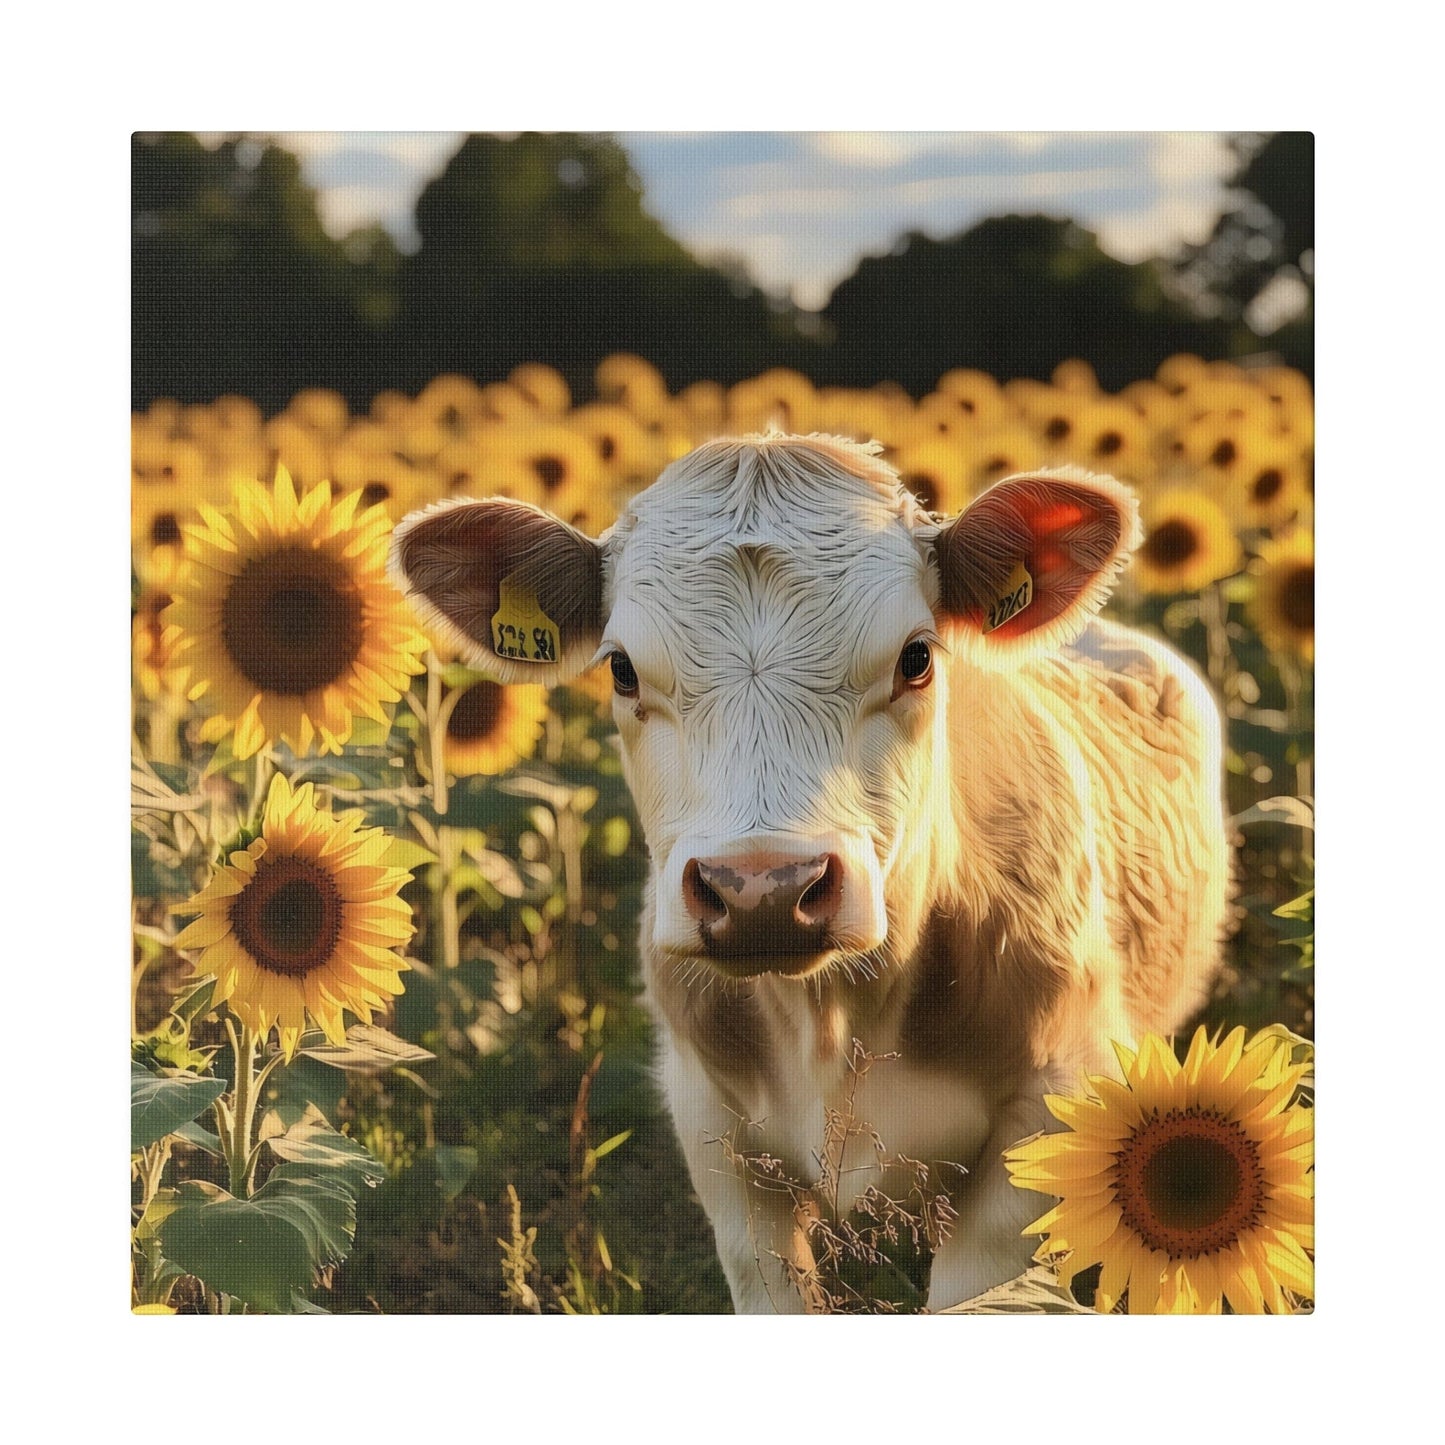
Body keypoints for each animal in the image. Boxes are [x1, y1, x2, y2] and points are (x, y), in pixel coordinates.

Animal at [395, 427, 1231, 1312]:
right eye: (620, 668)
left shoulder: (1046, 1114)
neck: (833, 1022)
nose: (762, 889)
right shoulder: (713, 1131)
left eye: (915, 656)